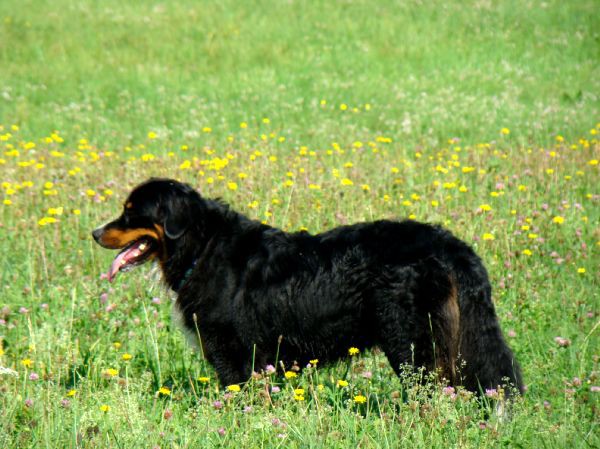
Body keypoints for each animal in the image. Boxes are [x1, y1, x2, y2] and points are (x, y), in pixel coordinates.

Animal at [91, 177, 524, 394]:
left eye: (131, 213)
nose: (94, 233)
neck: (203, 246)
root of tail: (449, 244)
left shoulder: (232, 354)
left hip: (410, 342)